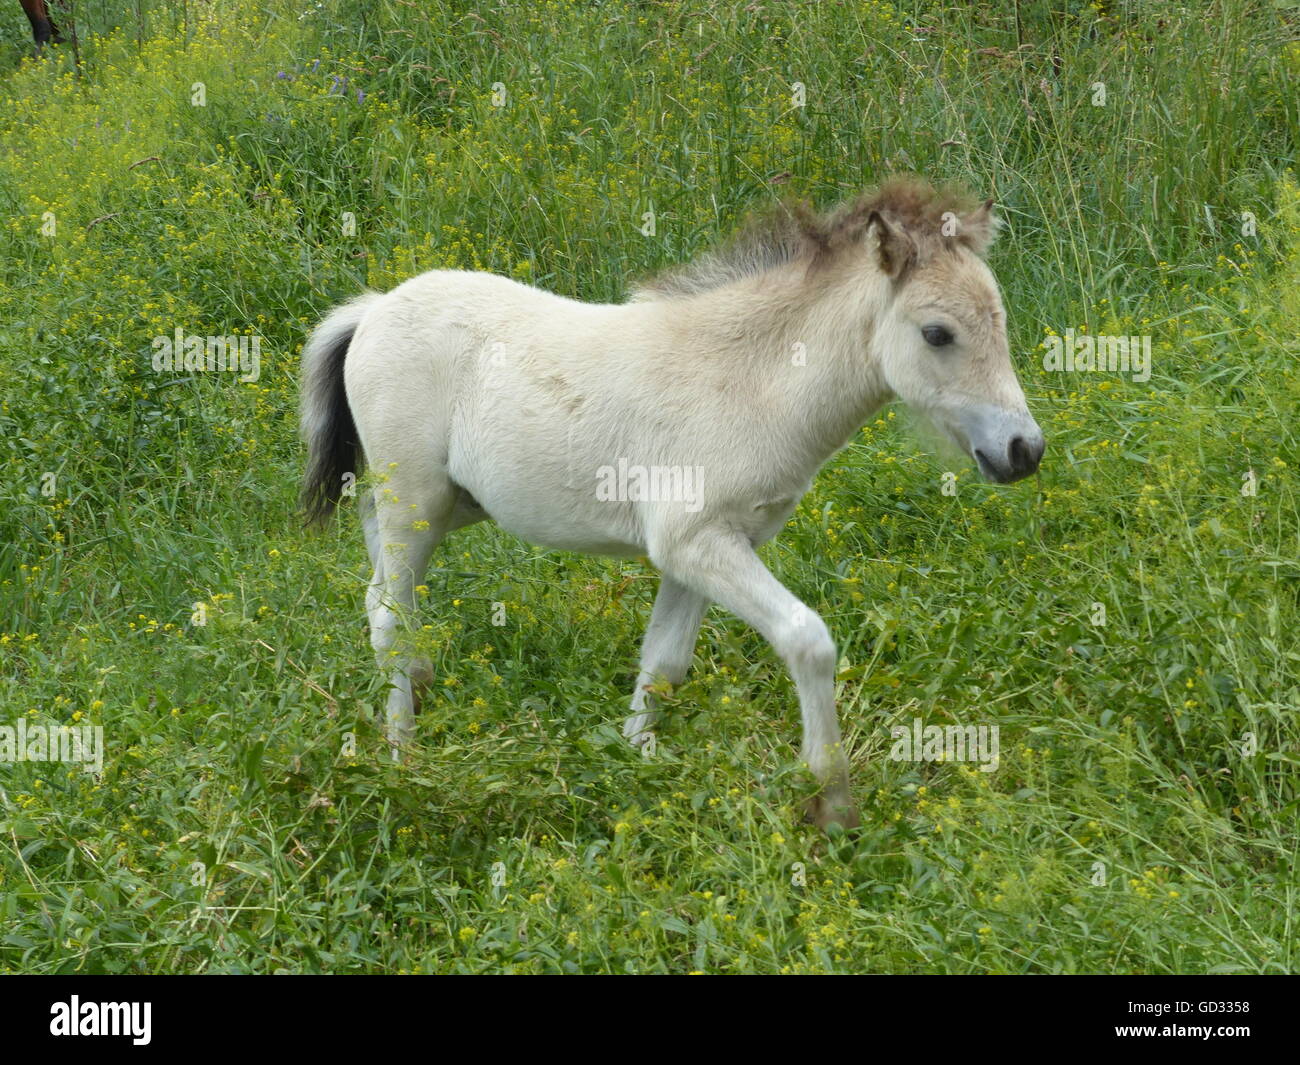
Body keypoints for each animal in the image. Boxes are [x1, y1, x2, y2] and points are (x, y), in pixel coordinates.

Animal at [299, 177, 1045, 829]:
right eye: (937, 333)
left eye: (1002, 319)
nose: (1024, 449)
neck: (749, 380)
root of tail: (373, 309)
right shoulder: (696, 542)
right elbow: (807, 640)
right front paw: (831, 802)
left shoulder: (709, 548)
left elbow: (664, 663)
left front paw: (636, 763)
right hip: (415, 501)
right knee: (386, 613)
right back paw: (402, 752)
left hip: (438, 506)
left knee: (386, 591)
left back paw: (419, 685)